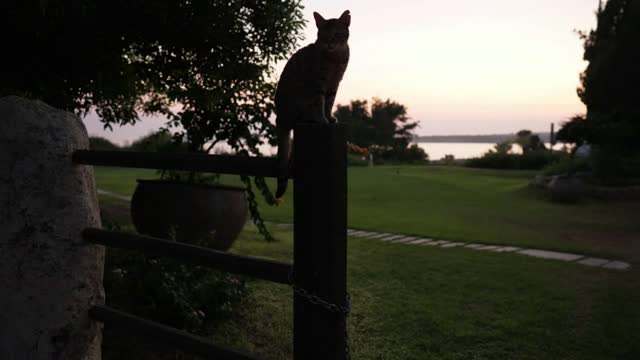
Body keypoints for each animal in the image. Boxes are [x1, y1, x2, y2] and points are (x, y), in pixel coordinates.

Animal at [272, 9, 348, 200]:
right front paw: (322, 119)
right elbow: (320, 102)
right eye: (323, 34)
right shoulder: (318, 83)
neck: (335, 58)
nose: (329, 43)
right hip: (298, 105)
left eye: (336, 34)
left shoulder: (334, 84)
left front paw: (329, 117)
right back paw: (312, 119)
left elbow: (329, 102)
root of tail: (280, 119)